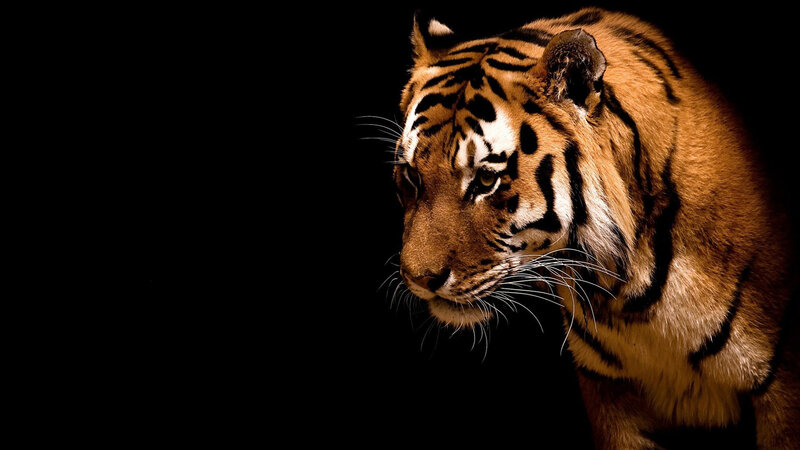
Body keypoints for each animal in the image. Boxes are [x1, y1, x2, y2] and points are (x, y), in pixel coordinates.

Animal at [389, 7, 799, 449]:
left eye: (485, 180)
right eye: (411, 176)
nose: (419, 279)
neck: (628, 295)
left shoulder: (782, 388)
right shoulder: (610, 390)